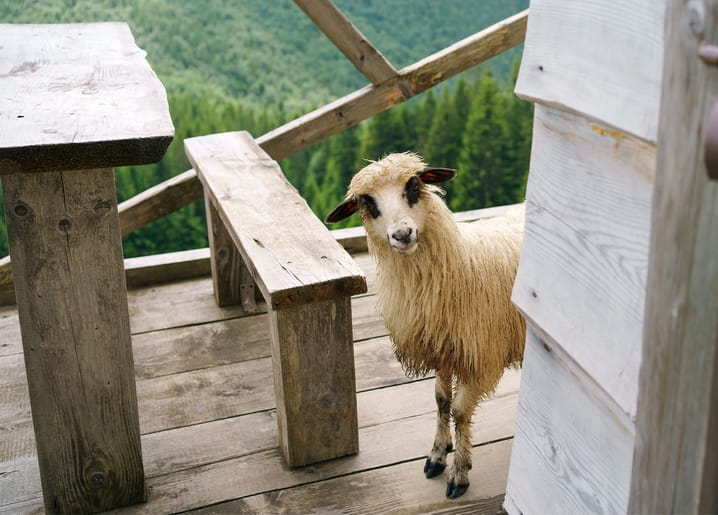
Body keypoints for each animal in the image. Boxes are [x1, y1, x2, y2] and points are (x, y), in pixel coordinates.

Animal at [325, 152, 526, 499]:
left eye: (414, 186)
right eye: (367, 202)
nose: (402, 234)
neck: (461, 266)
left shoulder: (480, 358)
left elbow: (460, 411)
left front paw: (460, 472)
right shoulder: (442, 349)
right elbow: (441, 400)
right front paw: (437, 454)